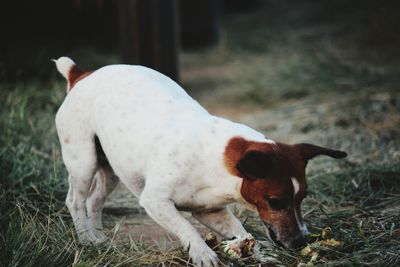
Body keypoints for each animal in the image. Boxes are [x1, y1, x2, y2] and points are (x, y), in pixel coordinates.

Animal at [54, 57, 346, 266]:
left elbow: (242, 232)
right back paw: (86, 241)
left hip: (111, 169)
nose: (300, 241)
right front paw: (203, 253)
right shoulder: (156, 201)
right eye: (275, 202)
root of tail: (82, 75)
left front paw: (255, 252)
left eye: (302, 198)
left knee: (94, 202)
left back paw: (99, 239)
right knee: (76, 201)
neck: (213, 159)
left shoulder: (210, 211)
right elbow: (186, 228)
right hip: (83, 162)